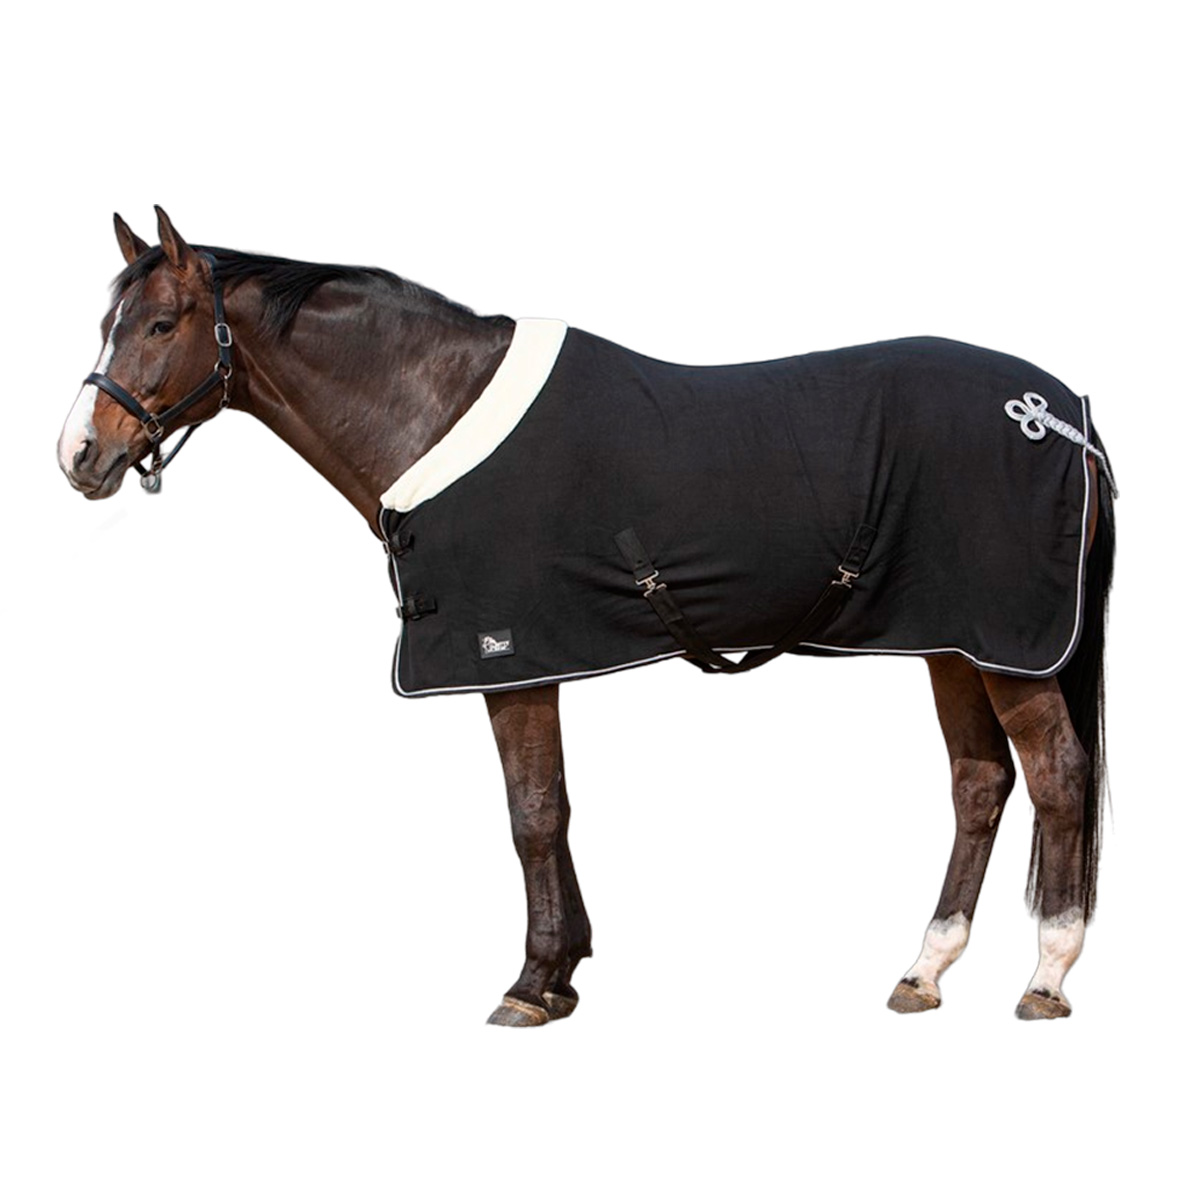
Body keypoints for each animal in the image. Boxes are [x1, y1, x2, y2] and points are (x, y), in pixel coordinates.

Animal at [58, 207, 1115, 1025]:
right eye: (109, 322)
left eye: (160, 324)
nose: (79, 455)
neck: (437, 412)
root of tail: (1059, 412)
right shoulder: (536, 662)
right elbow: (553, 809)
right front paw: (564, 970)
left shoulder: (509, 659)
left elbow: (533, 814)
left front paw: (531, 983)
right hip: (953, 642)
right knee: (980, 784)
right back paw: (924, 970)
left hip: (1008, 647)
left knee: (1058, 775)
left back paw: (1048, 975)